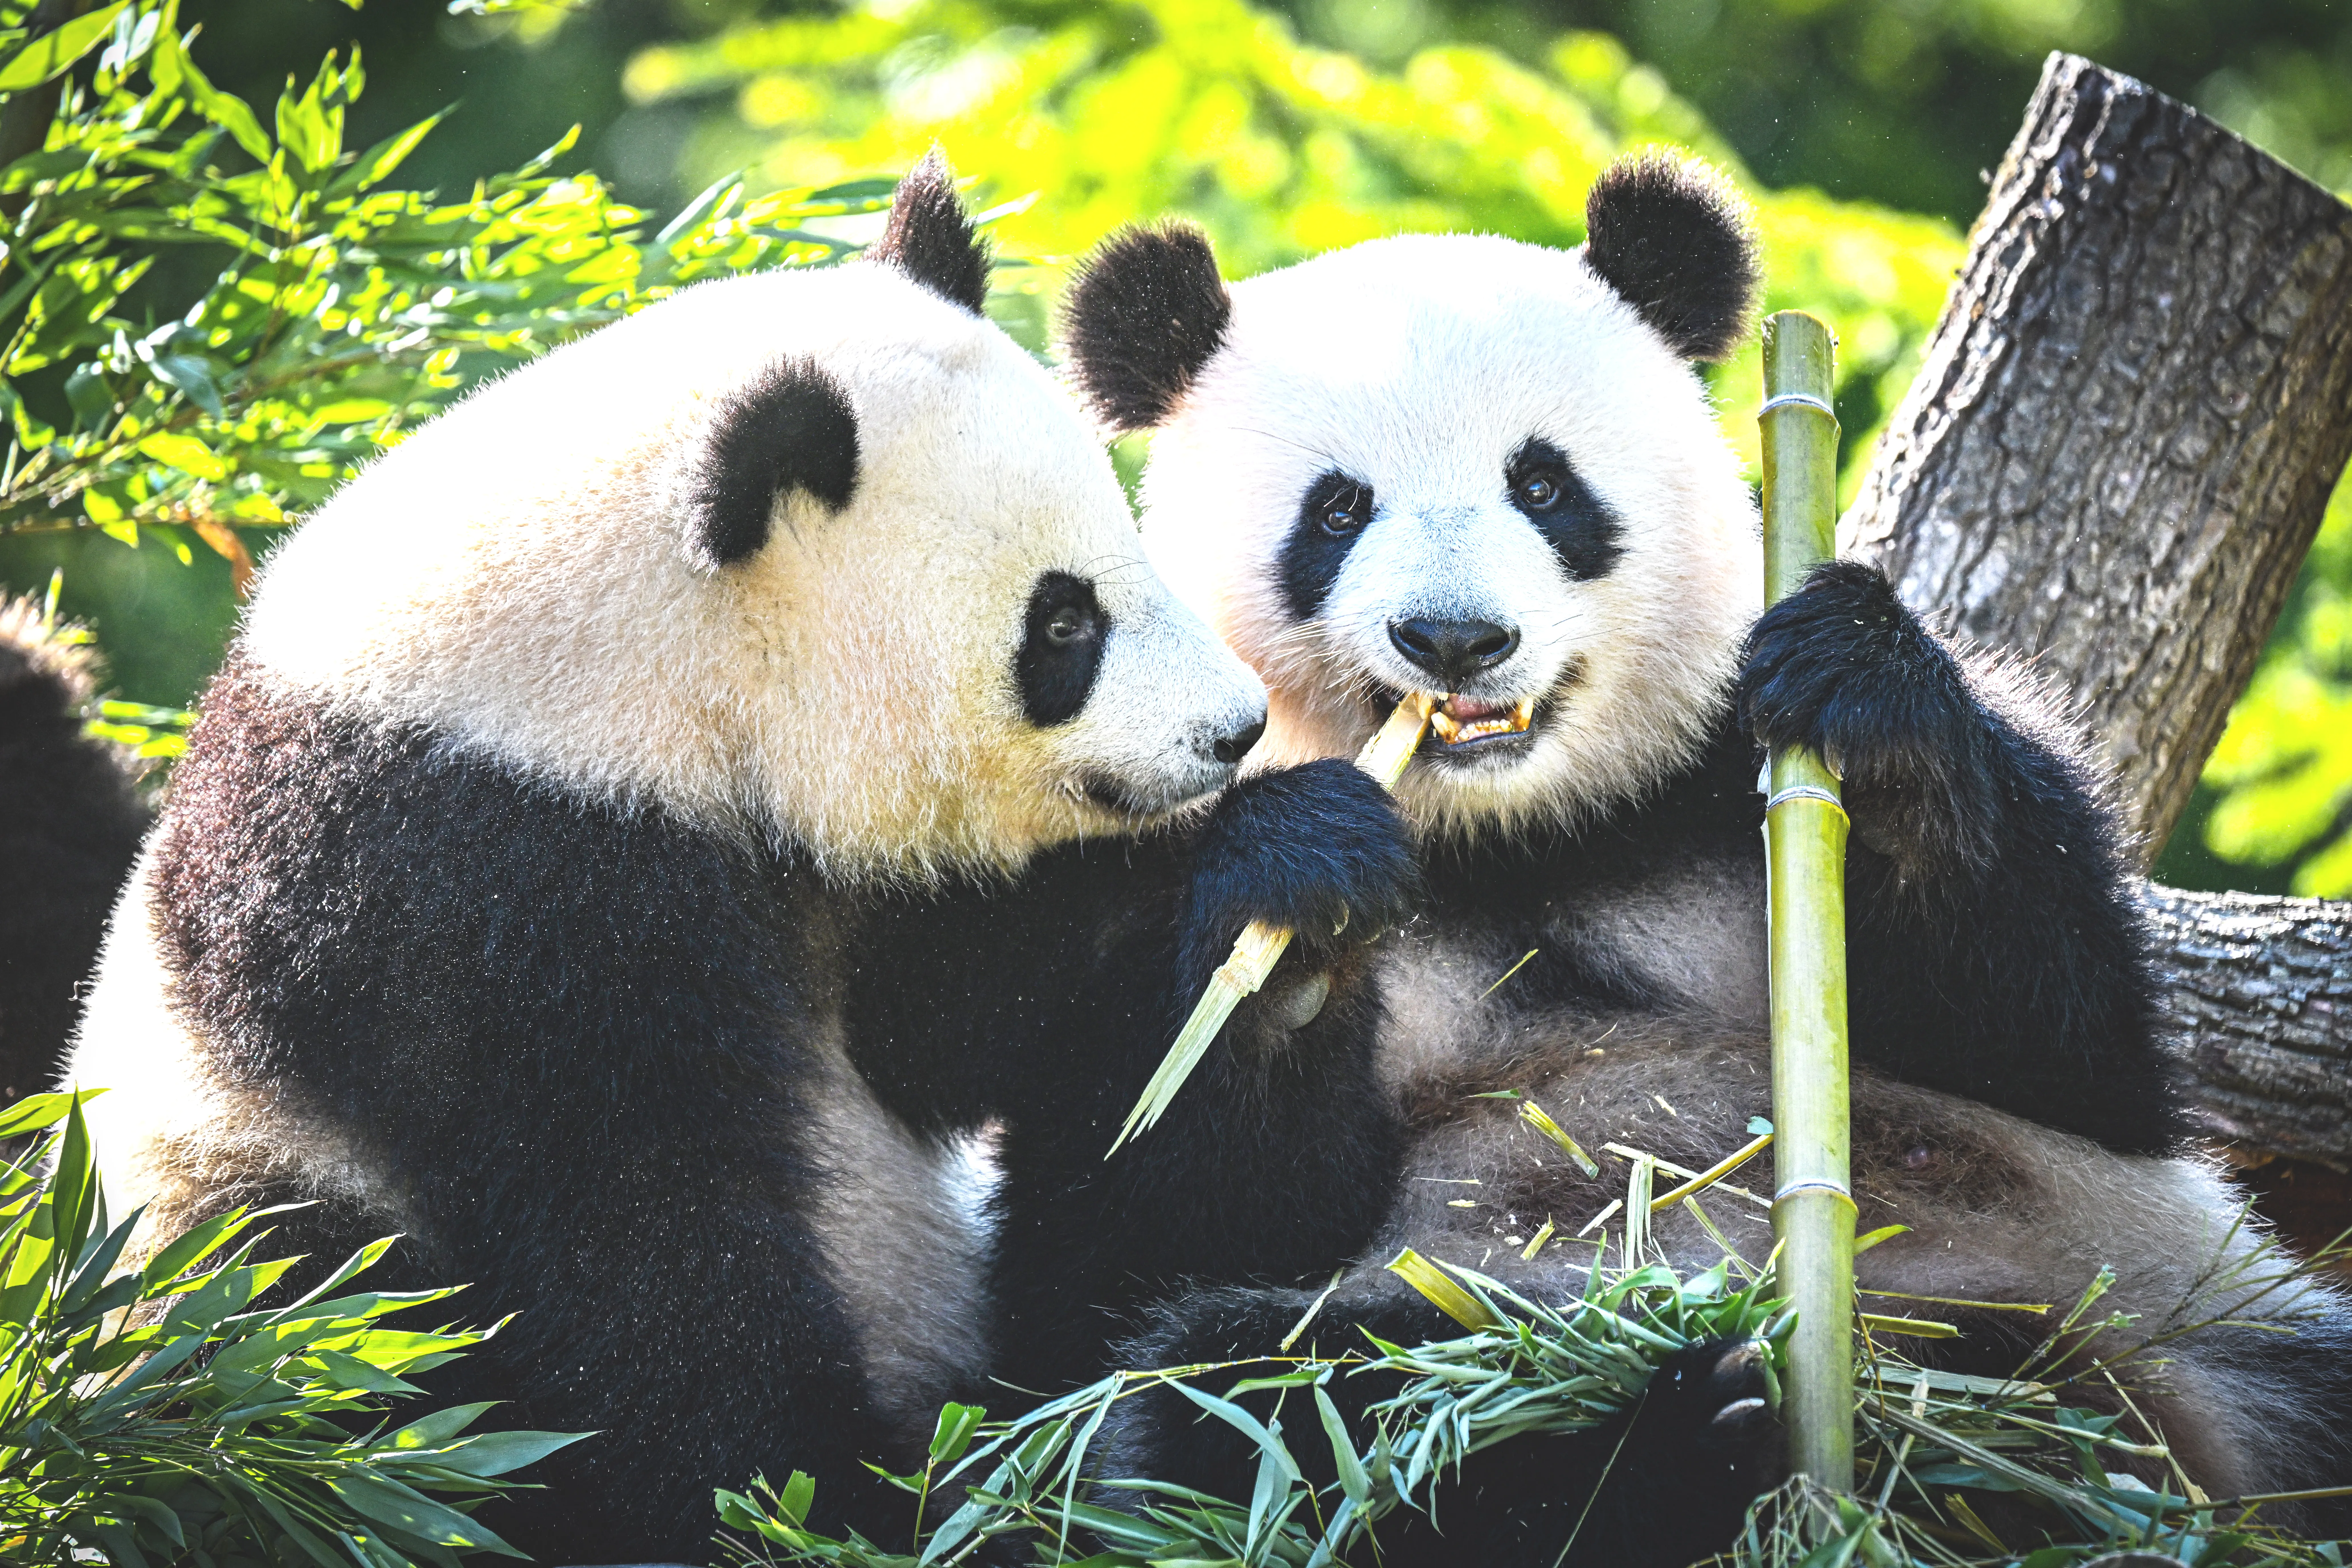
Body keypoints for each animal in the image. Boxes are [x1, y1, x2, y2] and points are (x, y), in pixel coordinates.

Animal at [64, 153, 1418, 1562]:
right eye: (1062, 626)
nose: (1235, 729)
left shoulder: (851, 891)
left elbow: (1026, 1051)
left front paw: (1292, 901)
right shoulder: (473, 880)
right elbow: (643, 1238)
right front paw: (815, 1500)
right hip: (231, 1244)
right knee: (338, 1346)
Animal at [1043, 151, 2352, 1562]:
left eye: (1545, 487)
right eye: (1338, 511)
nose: (1455, 638)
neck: (1514, 833)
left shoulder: (1722, 778)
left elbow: (2070, 1051)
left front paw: (1873, 703)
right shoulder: (1117, 879)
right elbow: (1151, 1220)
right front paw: (1299, 912)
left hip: (2186, 1297)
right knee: (1271, 1400)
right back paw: (1701, 1433)